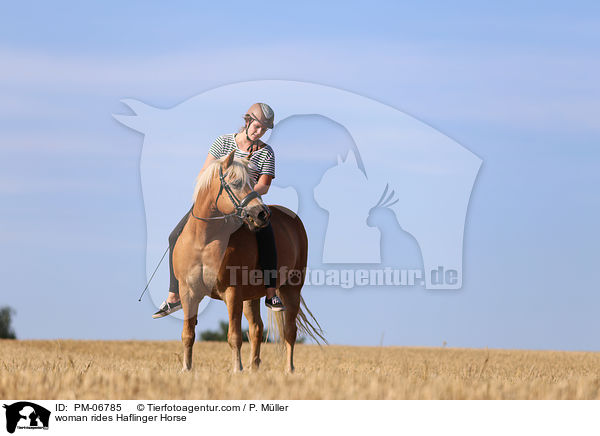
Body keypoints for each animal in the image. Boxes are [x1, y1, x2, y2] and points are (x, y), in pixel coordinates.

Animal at [171, 149, 326, 372]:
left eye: (252, 182)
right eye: (235, 183)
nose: (262, 214)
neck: (205, 239)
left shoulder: (232, 292)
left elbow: (234, 336)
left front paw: (237, 369)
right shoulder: (188, 292)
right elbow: (188, 334)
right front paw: (186, 369)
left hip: (291, 288)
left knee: (289, 331)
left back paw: (289, 369)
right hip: (251, 296)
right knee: (257, 329)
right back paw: (254, 368)